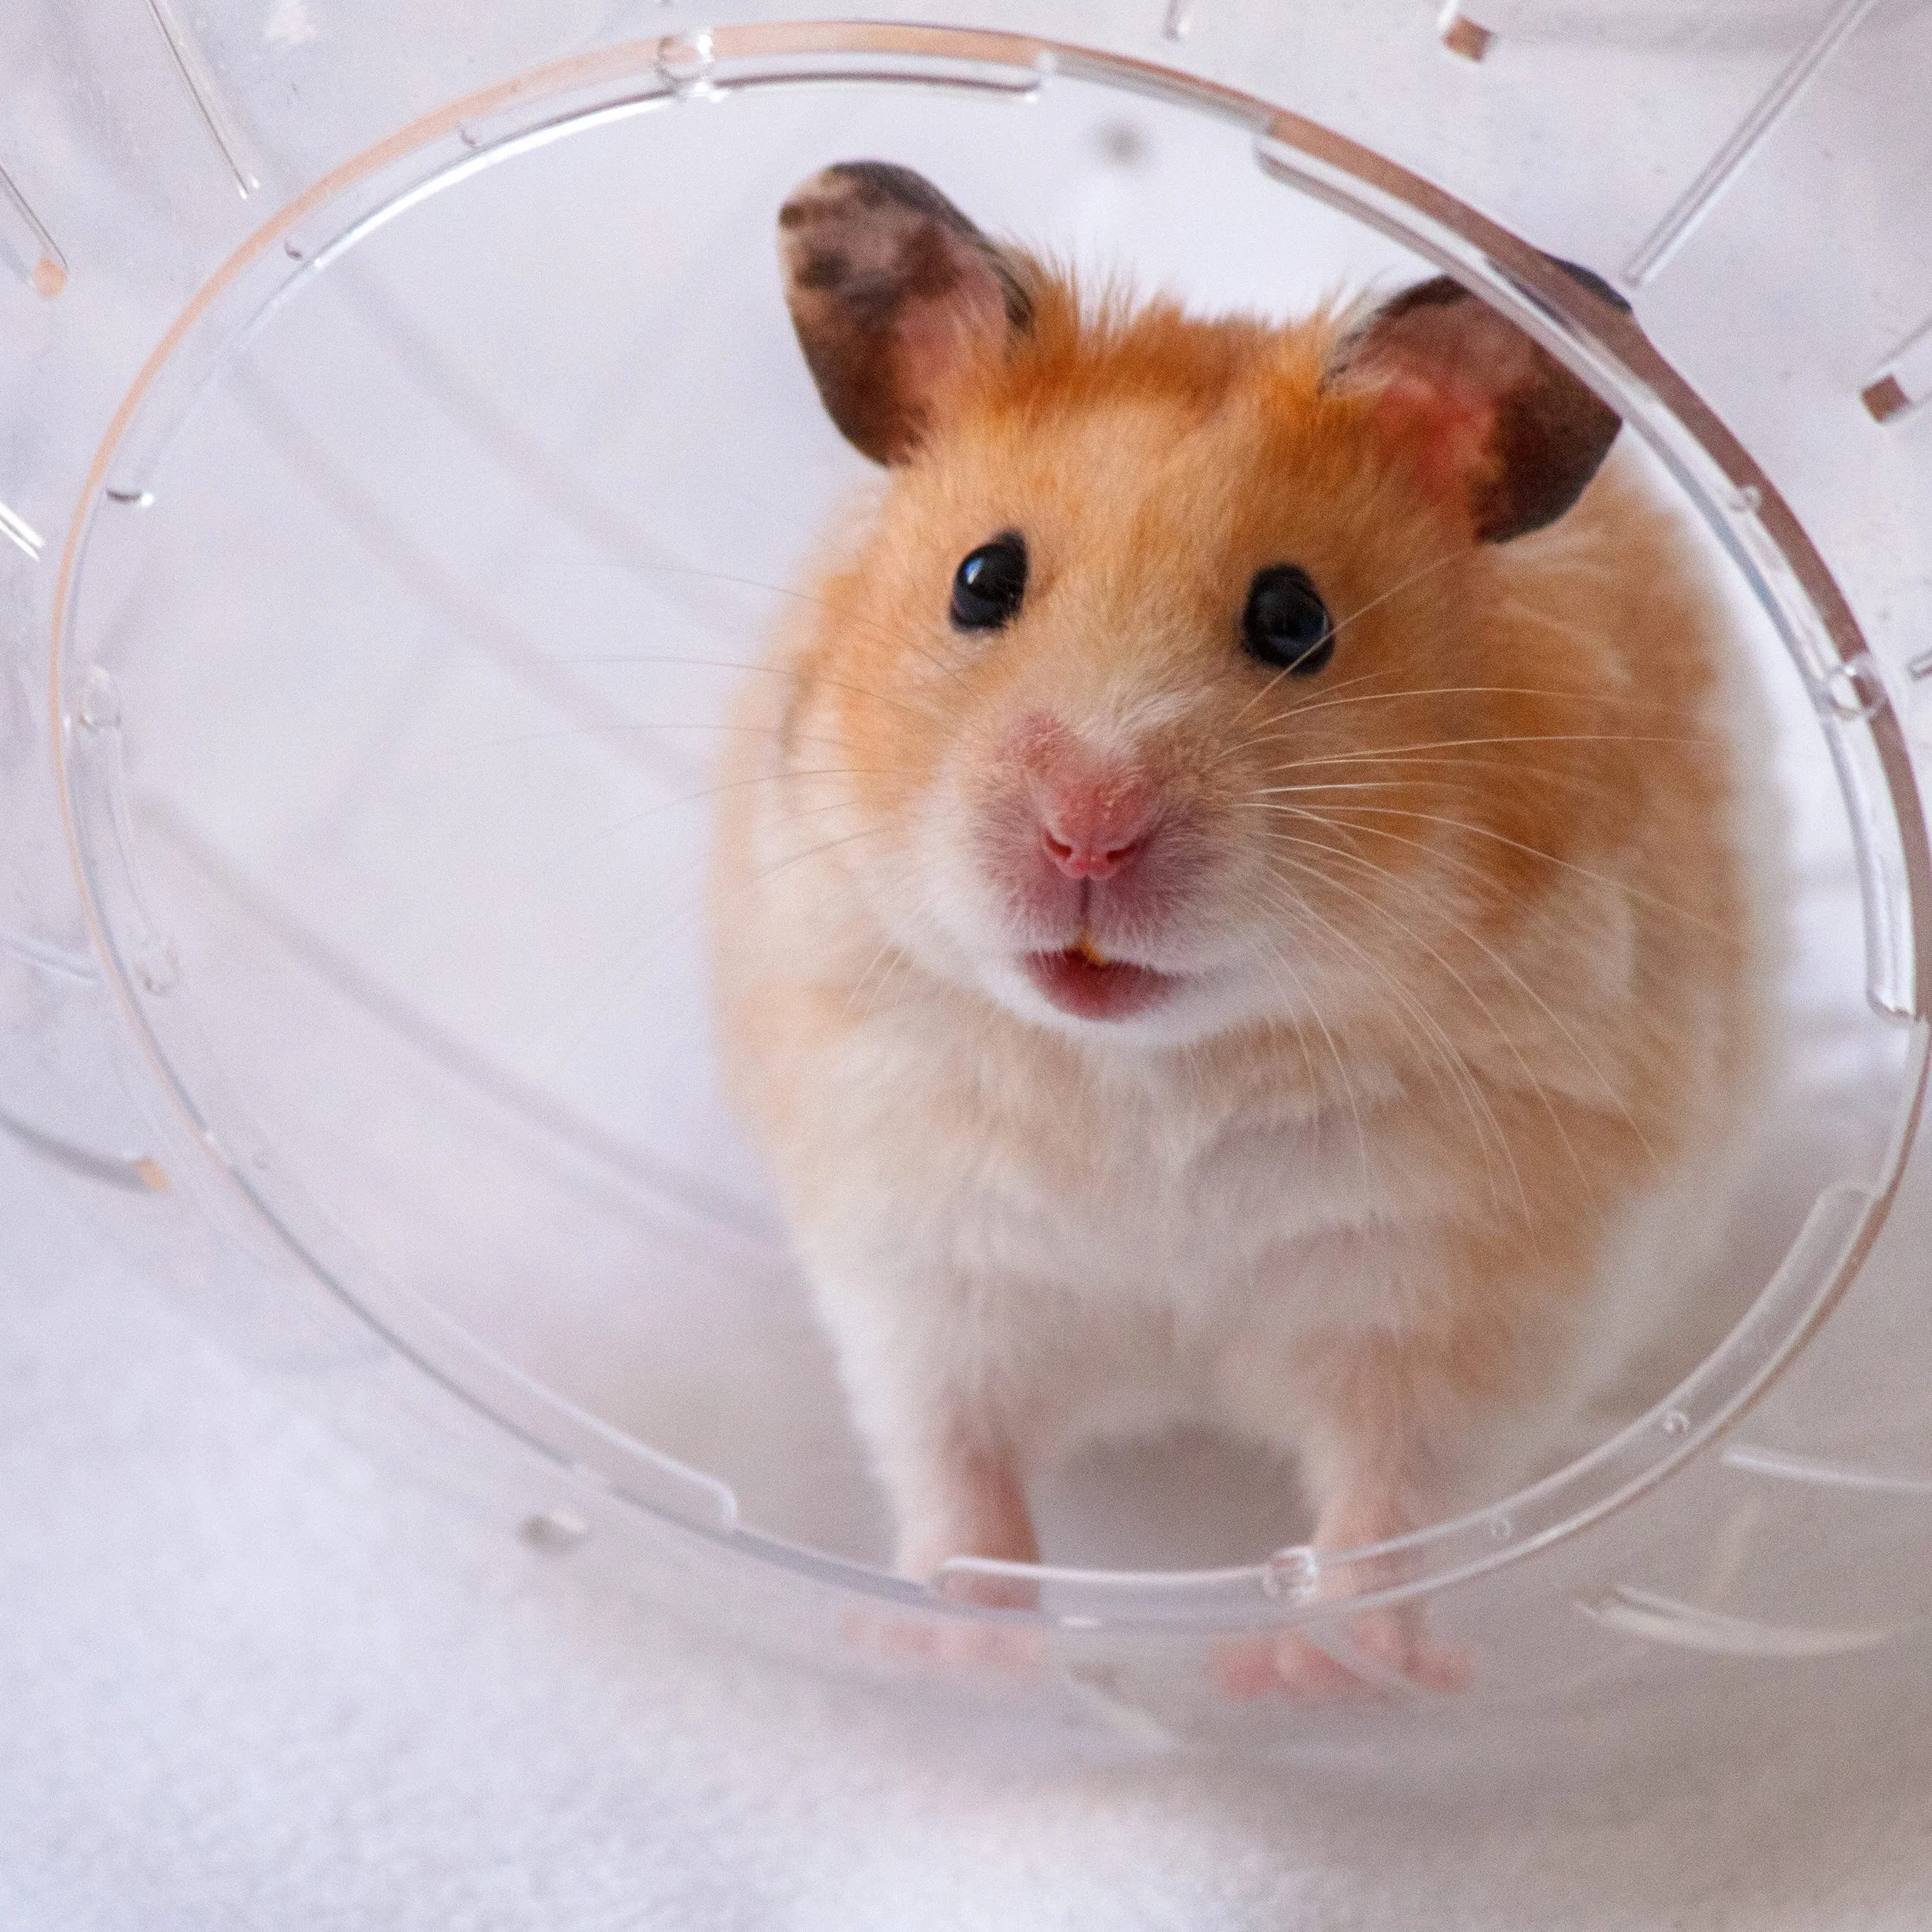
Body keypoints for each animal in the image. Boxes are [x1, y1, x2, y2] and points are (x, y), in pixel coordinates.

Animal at [709, 161, 1770, 1693]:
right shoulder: (925, 1256)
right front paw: (950, 1649)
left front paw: (1315, 1674)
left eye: (1292, 617)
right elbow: (957, 1466)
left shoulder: (1458, 1299)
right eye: (980, 580)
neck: (1153, 1064)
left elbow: (1391, 1501)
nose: (1086, 830)